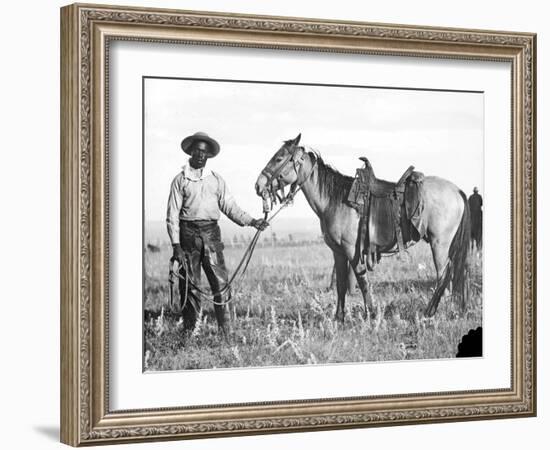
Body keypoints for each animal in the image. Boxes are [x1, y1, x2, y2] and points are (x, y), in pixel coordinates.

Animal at [256, 132, 472, 322]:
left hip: (439, 243)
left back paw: (429, 312)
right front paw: (339, 318)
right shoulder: (338, 251)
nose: (258, 186)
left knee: (443, 275)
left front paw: (371, 315)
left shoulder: (352, 250)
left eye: (279, 158)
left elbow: (362, 281)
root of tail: (458, 191)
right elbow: (341, 283)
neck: (334, 200)